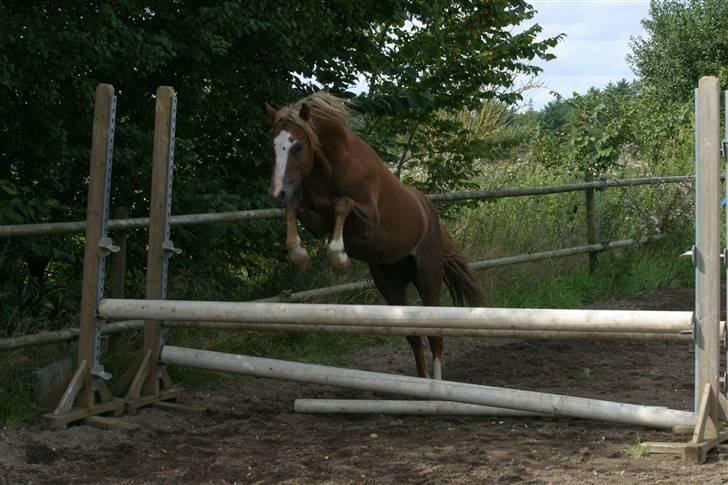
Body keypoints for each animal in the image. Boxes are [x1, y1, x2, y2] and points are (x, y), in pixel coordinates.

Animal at [264, 91, 480, 378]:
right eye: (272, 147)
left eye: (298, 146)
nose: (277, 193)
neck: (332, 167)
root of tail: (429, 210)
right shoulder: (316, 221)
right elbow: (295, 207)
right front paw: (299, 256)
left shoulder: (368, 222)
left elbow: (343, 204)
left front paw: (339, 257)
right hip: (389, 283)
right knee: (413, 335)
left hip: (428, 277)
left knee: (436, 336)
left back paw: (437, 383)